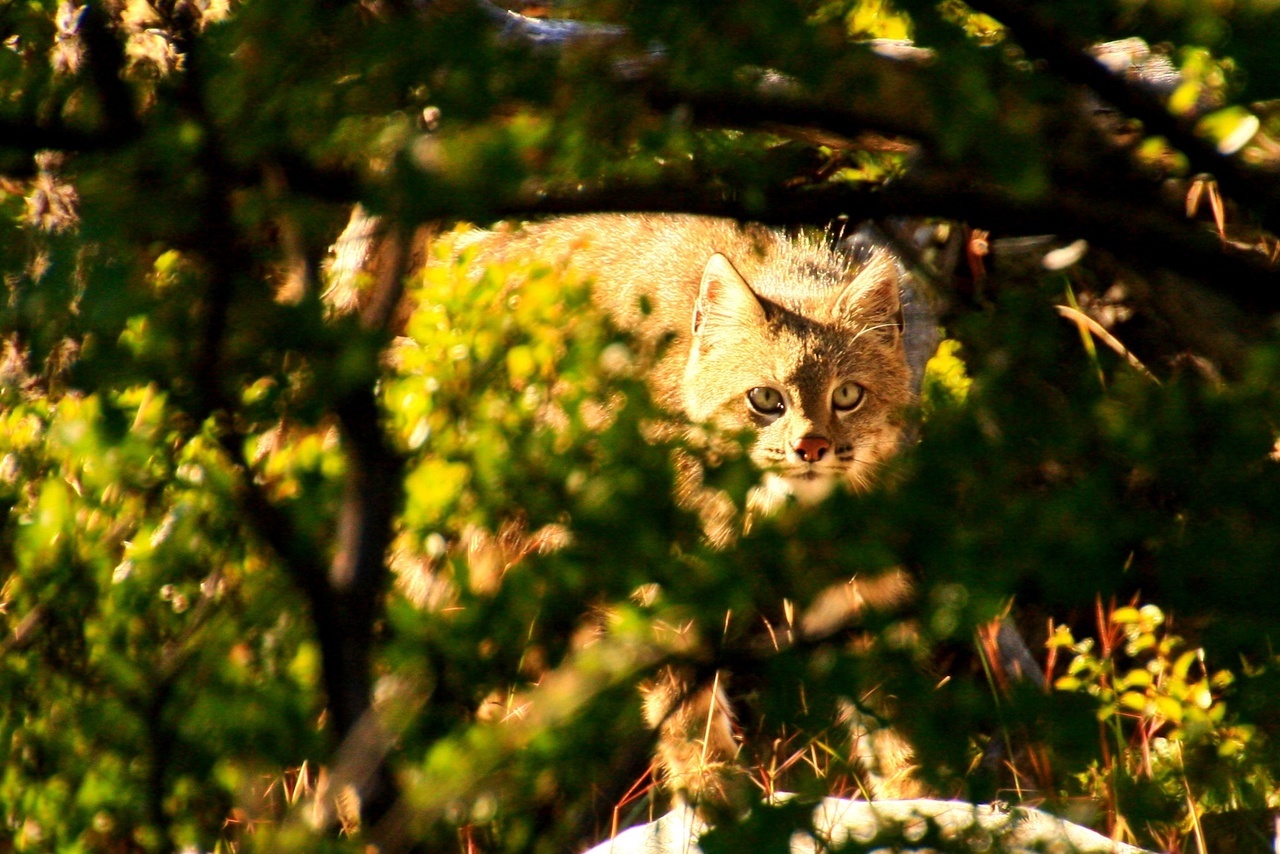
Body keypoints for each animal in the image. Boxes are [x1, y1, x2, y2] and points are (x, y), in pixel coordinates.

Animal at [430, 213, 921, 809]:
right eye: (765, 400)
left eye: (848, 395)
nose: (811, 449)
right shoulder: (662, 589)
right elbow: (686, 713)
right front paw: (721, 799)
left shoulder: (869, 591)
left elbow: (899, 722)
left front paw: (919, 798)